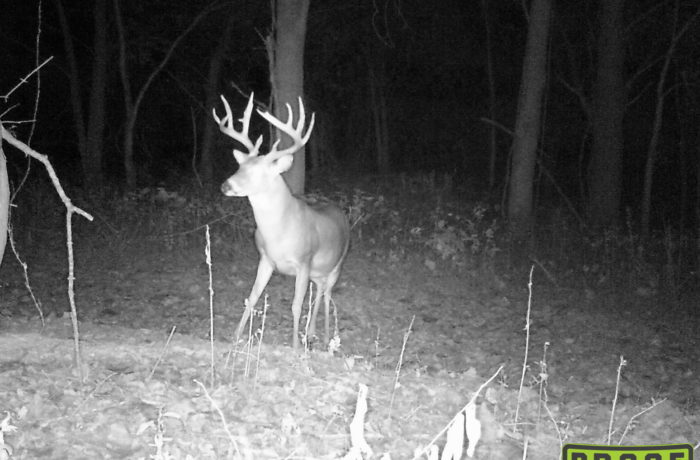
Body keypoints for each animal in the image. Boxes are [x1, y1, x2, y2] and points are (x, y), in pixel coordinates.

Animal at [213, 93, 350, 350]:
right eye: (240, 166)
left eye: (260, 172)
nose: (225, 185)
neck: (278, 233)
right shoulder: (266, 259)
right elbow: (252, 296)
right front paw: (235, 337)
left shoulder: (304, 260)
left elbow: (296, 305)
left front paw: (295, 346)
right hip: (317, 272)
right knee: (318, 292)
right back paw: (312, 334)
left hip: (337, 263)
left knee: (327, 295)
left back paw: (327, 337)